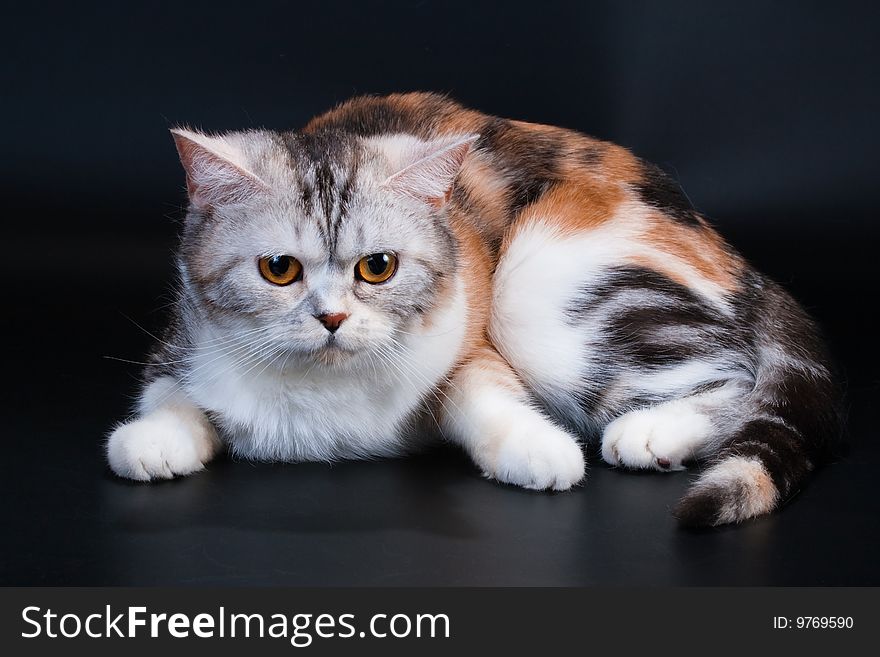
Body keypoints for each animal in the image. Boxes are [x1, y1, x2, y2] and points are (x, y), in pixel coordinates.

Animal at [106, 92, 844, 524]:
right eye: (278, 269)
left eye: (378, 267)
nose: (332, 318)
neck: (322, 397)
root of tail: (723, 244)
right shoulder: (181, 337)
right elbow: (169, 394)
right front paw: (153, 439)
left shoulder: (469, 338)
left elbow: (481, 392)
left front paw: (538, 449)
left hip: (537, 279)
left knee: (734, 373)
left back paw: (651, 432)